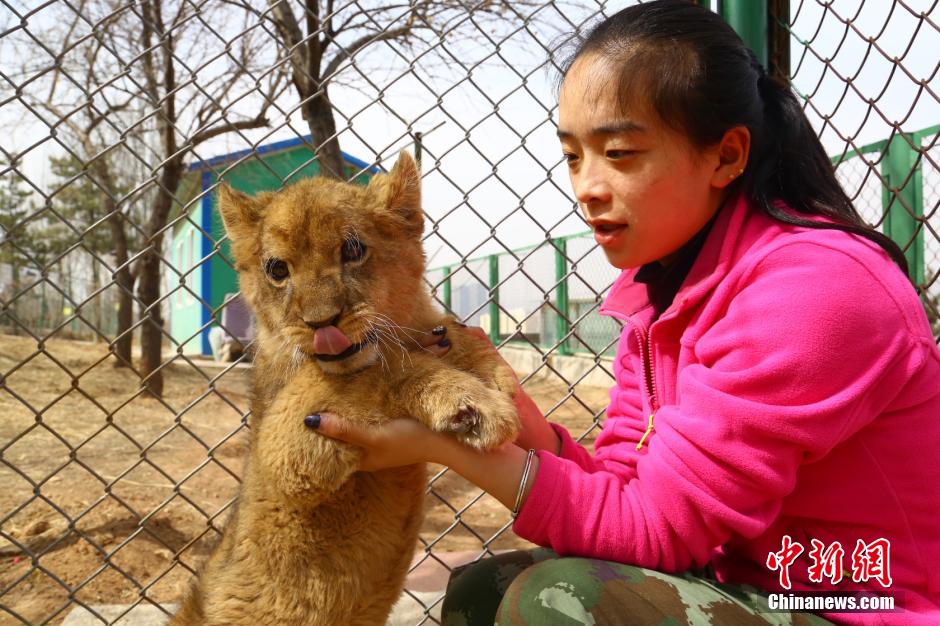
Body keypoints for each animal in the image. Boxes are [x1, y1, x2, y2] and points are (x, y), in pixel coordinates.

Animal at [169, 152, 519, 625]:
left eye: (352, 250)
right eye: (277, 269)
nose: (321, 322)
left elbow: (451, 331)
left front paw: (495, 373)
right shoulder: (283, 445)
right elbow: (390, 367)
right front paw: (473, 404)